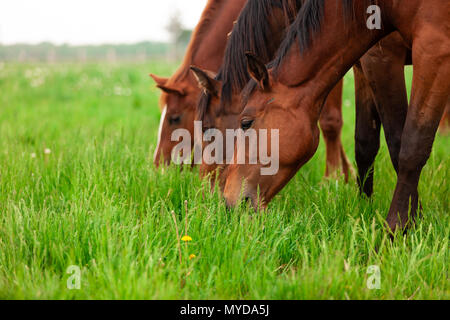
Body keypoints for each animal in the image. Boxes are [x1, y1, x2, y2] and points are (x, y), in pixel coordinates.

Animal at [222, 0, 450, 235]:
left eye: (245, 123)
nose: (228, 202)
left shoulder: (430, 51)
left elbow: (409, 147)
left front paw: (399, 227)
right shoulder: (367, 63)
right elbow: (366, 144)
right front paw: (370, 207)